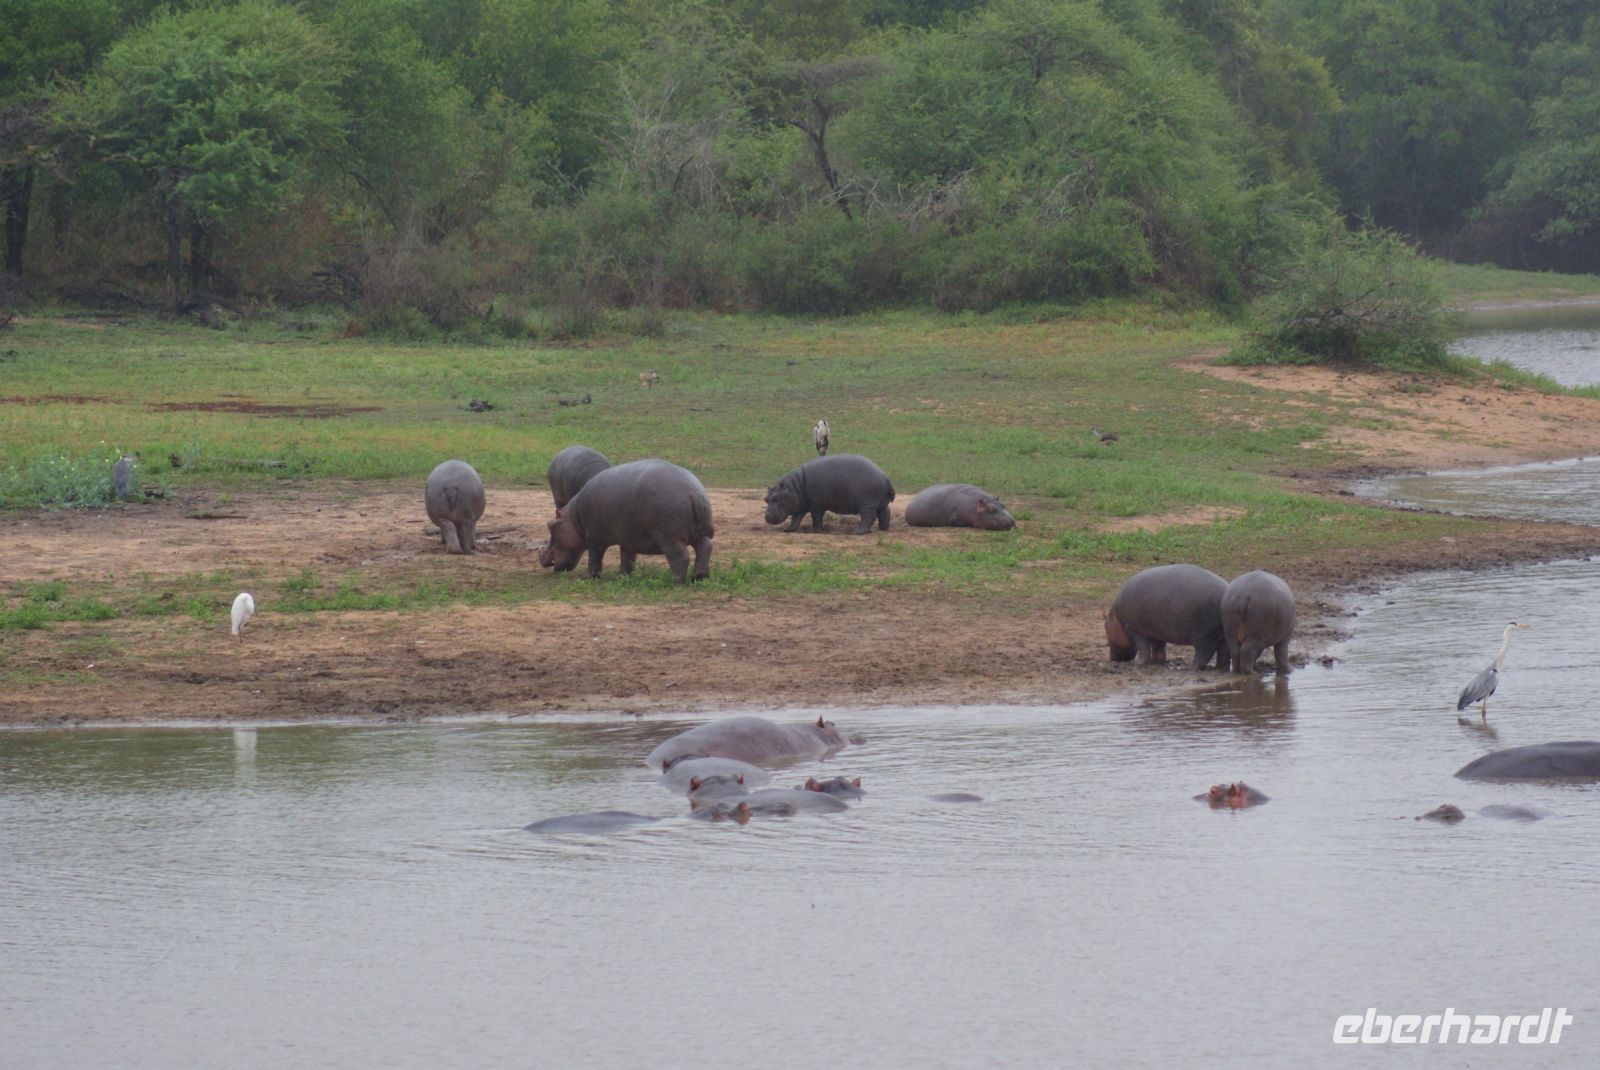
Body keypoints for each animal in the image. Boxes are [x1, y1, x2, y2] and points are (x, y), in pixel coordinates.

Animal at [539, 459, 714, 583]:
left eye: (550, 525)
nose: (540, 555)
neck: (575, 518)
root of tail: (693, 494)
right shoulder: (628, 538)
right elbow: (627, 558)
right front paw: (621, 576)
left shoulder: (594, 538)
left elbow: (595, 558)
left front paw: (587, 577)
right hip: (702, 533)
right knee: (705, 548)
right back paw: (699, 576)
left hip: (670, 538)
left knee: (681, 556)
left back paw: (673, 580)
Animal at [764, 454, 895, 535]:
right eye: (766, 499)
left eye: (777, 497)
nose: (767, 517)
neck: (794, 487)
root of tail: (885, 476)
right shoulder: (800, 506)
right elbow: (795, 519)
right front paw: (788, 530)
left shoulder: (816, 505)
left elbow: (816, 518)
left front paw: (814, 531)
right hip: (881, 504)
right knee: (885, 513)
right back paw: (883, 529)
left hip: (868, 505)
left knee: (868, 517)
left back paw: (857, 532)